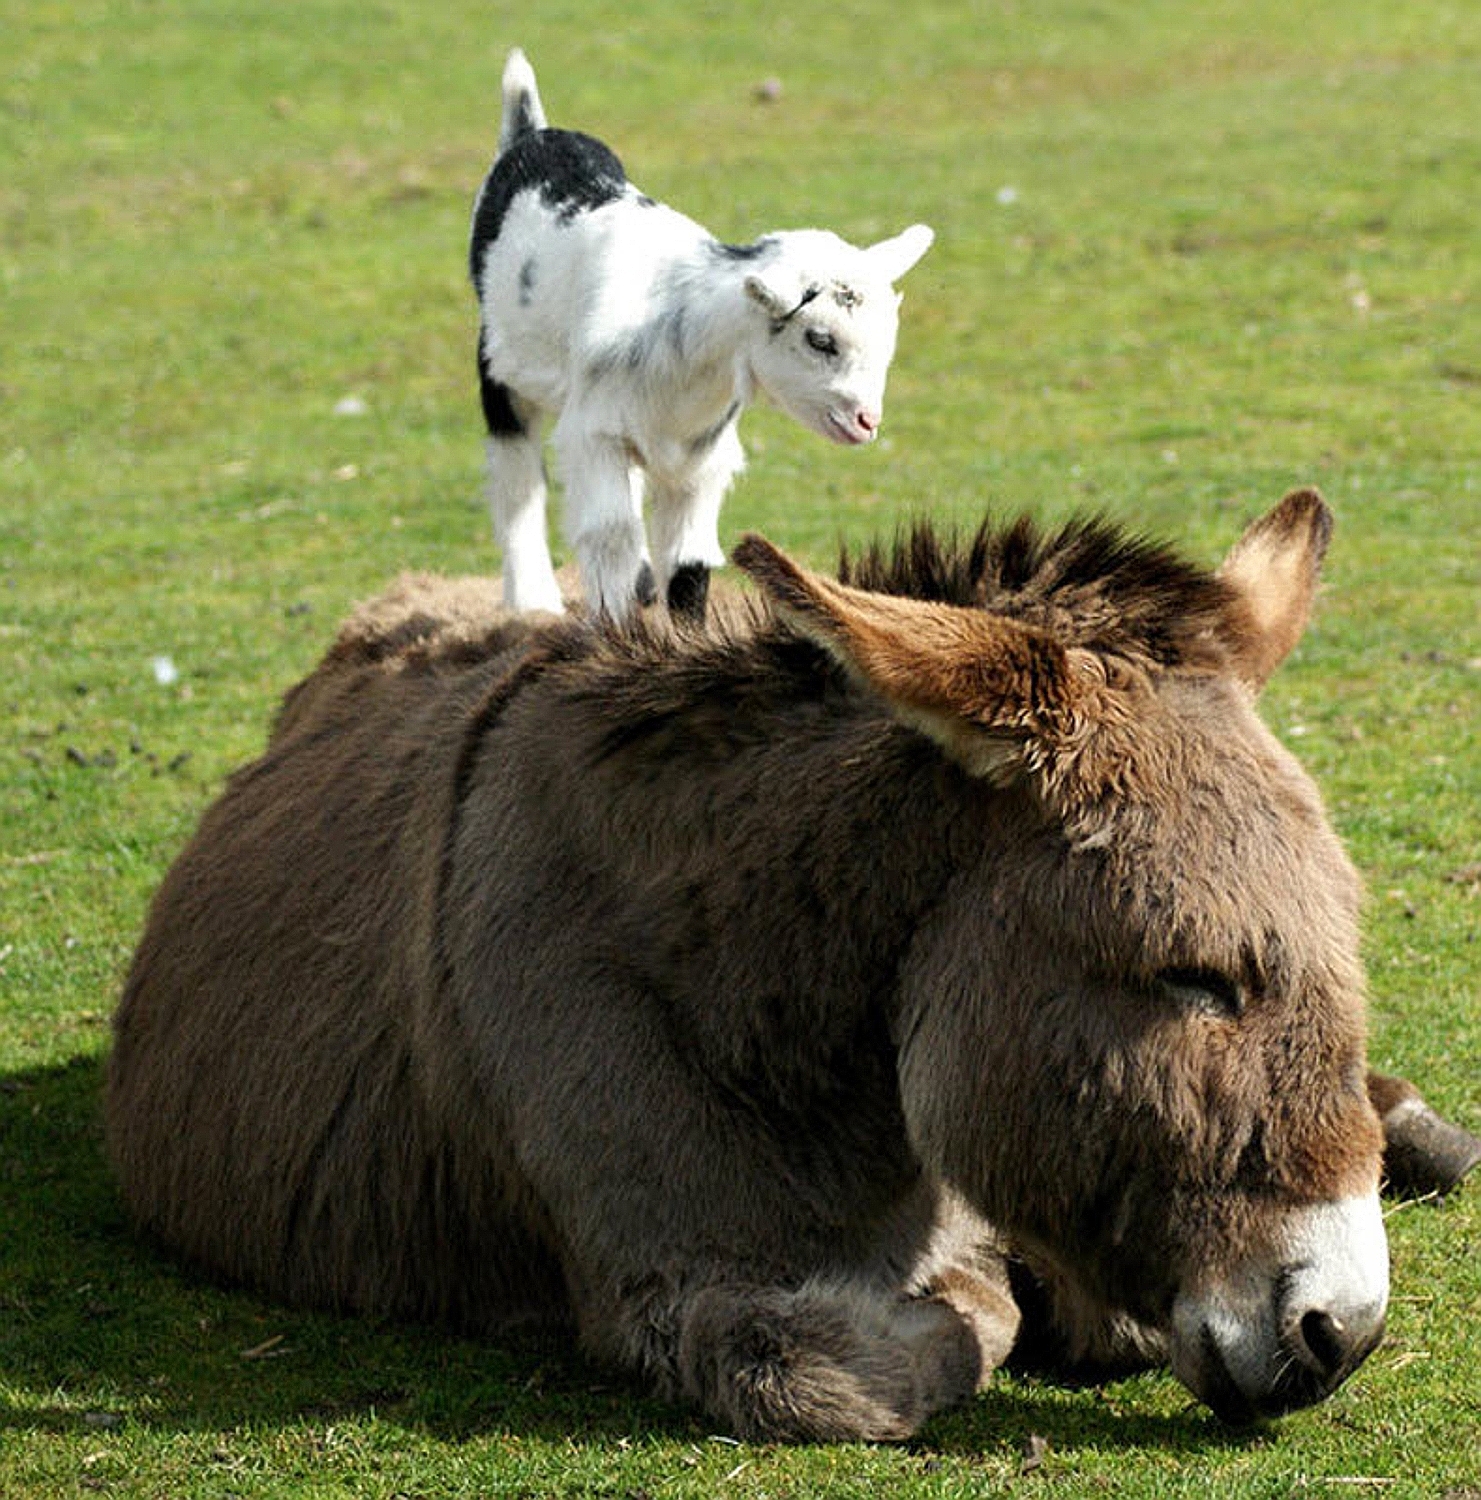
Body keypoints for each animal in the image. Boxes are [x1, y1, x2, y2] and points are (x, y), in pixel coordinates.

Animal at [468, 49, 930, 618]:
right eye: (819, 339)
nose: (867, 422)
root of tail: (532, 132)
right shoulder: (594, 435)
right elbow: (609, 539)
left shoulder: (699, 455)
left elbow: (690, 561)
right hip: (500, 365)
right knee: (515, 476)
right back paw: (533, 601)